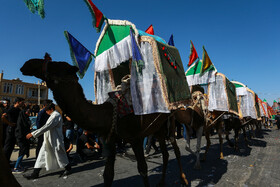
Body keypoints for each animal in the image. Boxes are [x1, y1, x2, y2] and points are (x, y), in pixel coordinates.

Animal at [20, 58, 188, 187]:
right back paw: (162, 181)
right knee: (166, 154)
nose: (27, 64)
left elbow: (142, 169)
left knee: (176, 150)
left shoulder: (135, 138)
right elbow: (108, 175)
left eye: (55, 65)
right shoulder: (110, 139)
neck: (108, 113)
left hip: (170, 121)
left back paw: (183, 180)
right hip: (158, 128)